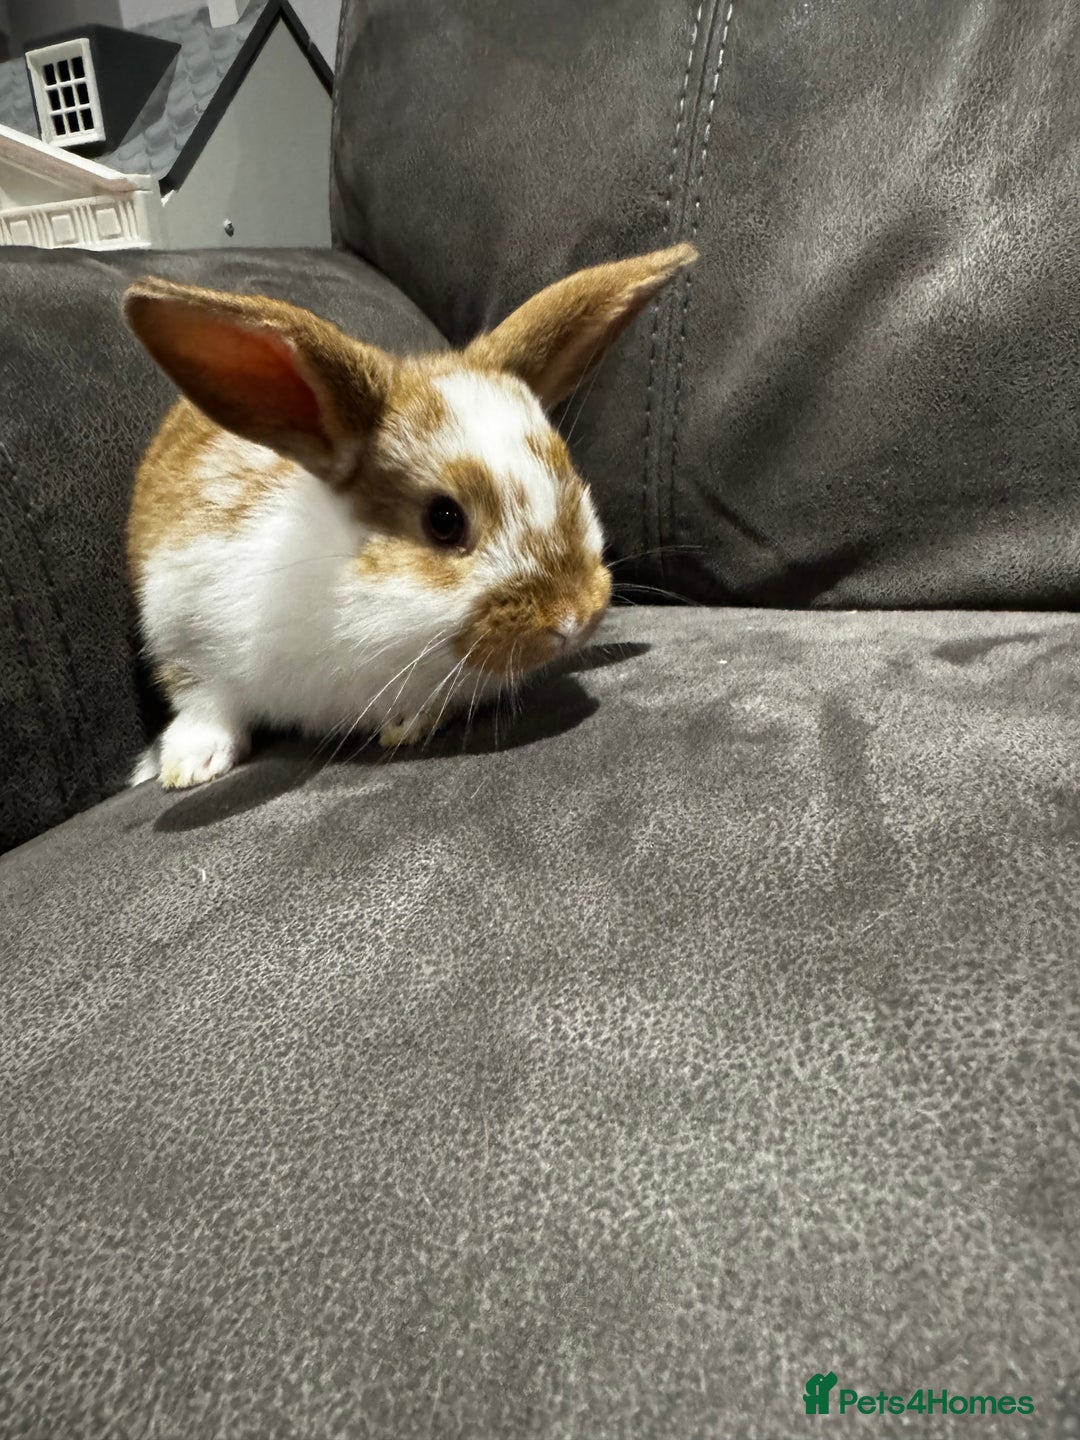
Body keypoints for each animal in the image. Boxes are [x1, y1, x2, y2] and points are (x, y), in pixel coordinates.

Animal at [123, 242, 697, 788]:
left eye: (569, 476)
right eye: (443, 520)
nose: (574, 618)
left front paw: (406, 724)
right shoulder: (183, 626)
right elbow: (203, 701)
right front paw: (189, 766)